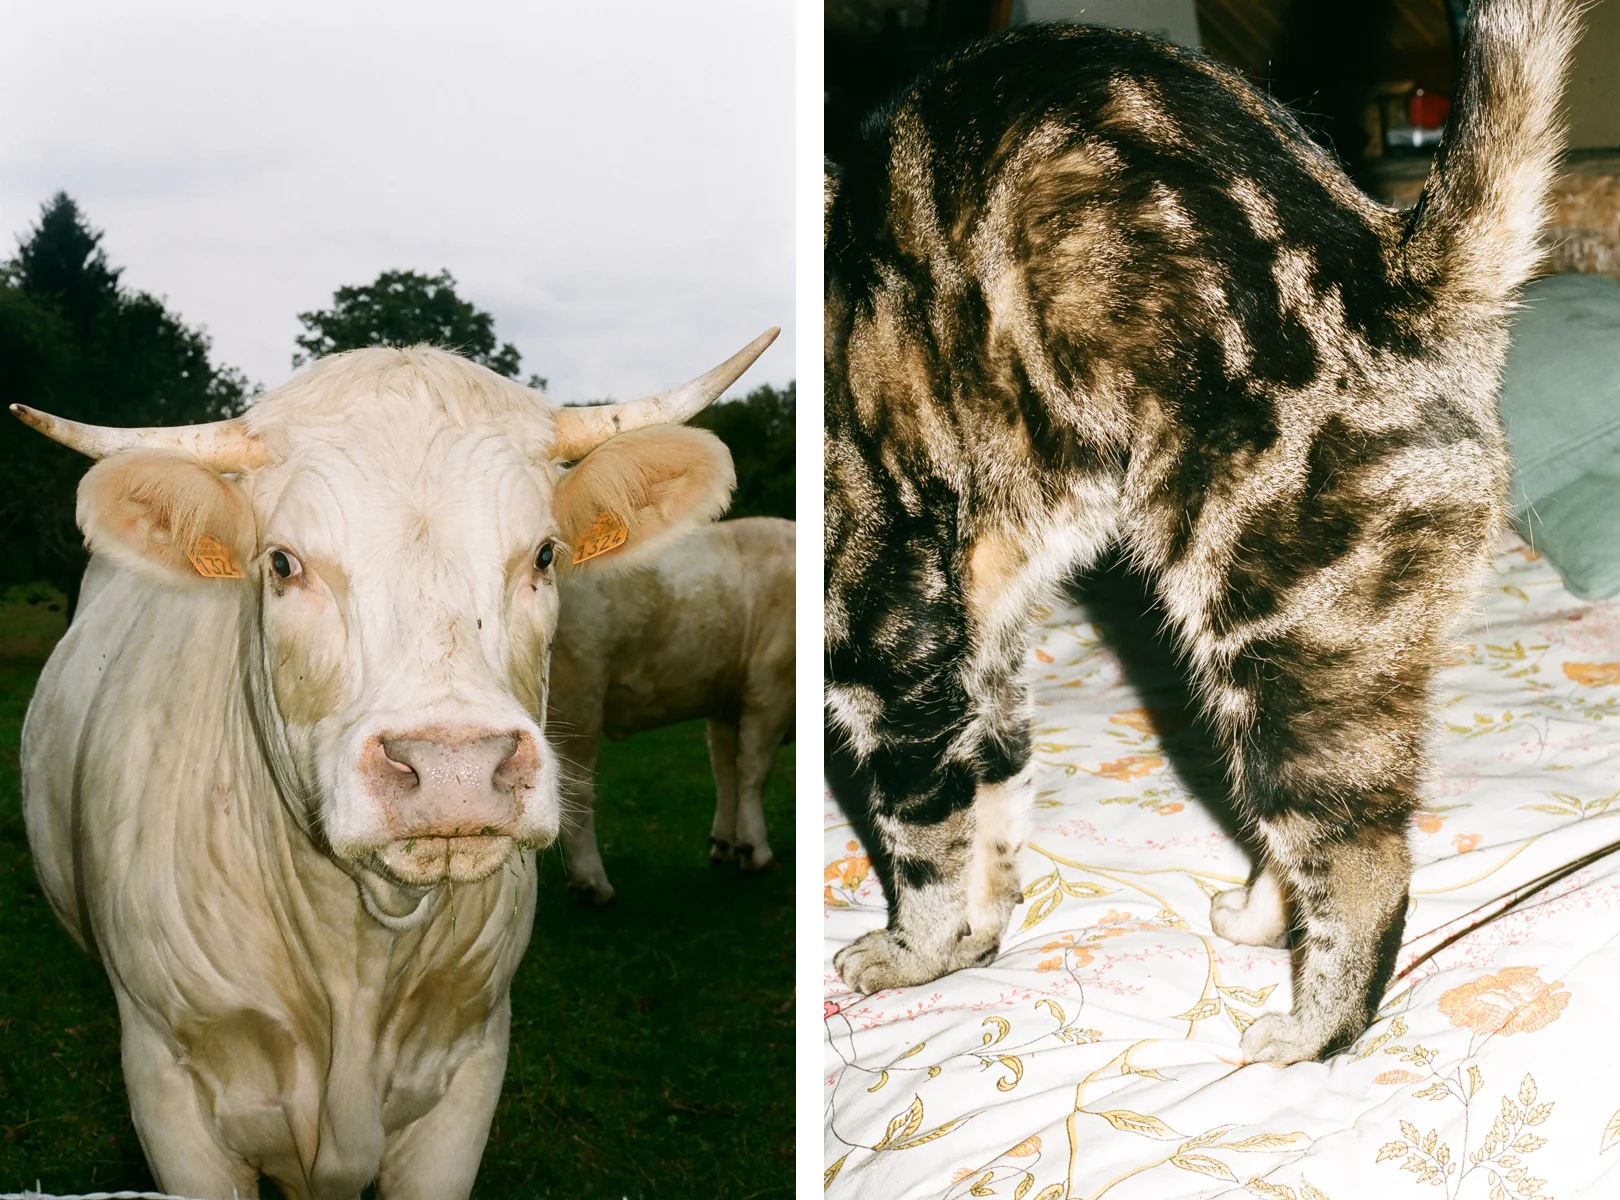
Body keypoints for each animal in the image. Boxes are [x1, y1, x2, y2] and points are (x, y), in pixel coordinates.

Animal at [548, 516, 794, 903]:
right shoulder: (772, 687)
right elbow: (754, 771)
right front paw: (757, 851)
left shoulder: (726, 699)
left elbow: (725, 770)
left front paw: (726, 843)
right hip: (576, 695)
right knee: (575, 788)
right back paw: (592, 884)